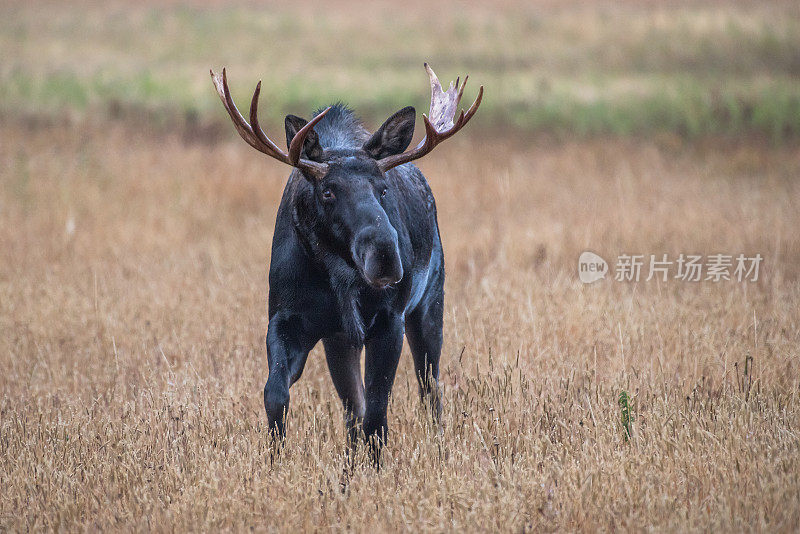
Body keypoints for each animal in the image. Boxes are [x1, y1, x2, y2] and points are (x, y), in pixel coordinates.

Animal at [209, 65, 482, 462]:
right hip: (341, 341)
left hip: (429, 304)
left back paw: (437, 447)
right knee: (354, 407)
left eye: (382, 188)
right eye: (327, 191)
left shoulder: (390, 320)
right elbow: (276, 394)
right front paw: (275, 459)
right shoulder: (290, 319)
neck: (340, 279)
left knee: (429, 390)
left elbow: (378, 416)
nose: (386, 255)